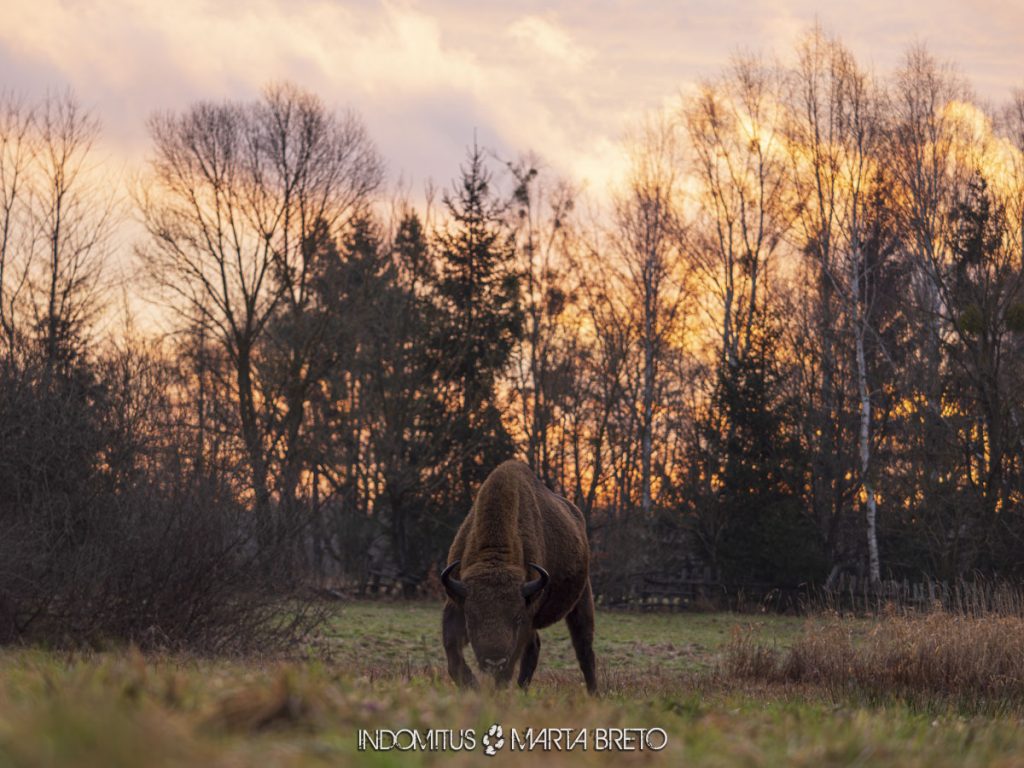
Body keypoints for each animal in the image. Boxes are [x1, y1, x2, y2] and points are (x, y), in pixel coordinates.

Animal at [440, 462, 598, 696]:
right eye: (471, 617)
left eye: (515, 618)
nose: (494, 661)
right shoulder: (456, 602)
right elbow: (453, 654)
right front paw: (473, 687)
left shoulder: (525, 618)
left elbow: (507, 669)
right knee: (535, 647)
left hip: (582, 599)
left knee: (584, 649)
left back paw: (594, 693)